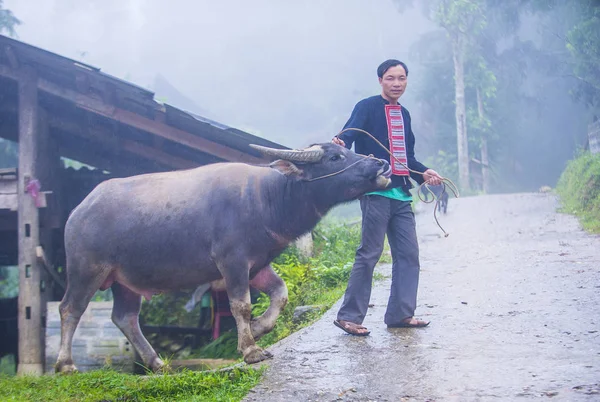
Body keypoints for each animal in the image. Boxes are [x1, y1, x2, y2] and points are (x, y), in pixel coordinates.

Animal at [56, 143, 392, 372]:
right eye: (334, 158)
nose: (380, 163)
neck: (265, 198)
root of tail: (78, 211)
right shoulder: (232, 262)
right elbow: (240, 305)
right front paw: (251, 350)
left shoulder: (259, 265)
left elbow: (280, 294)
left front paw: (258, 328)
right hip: (87, 270)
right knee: (70, 308)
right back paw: (66, 365)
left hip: (124, 280)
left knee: (125, 317)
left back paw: (158, 364)